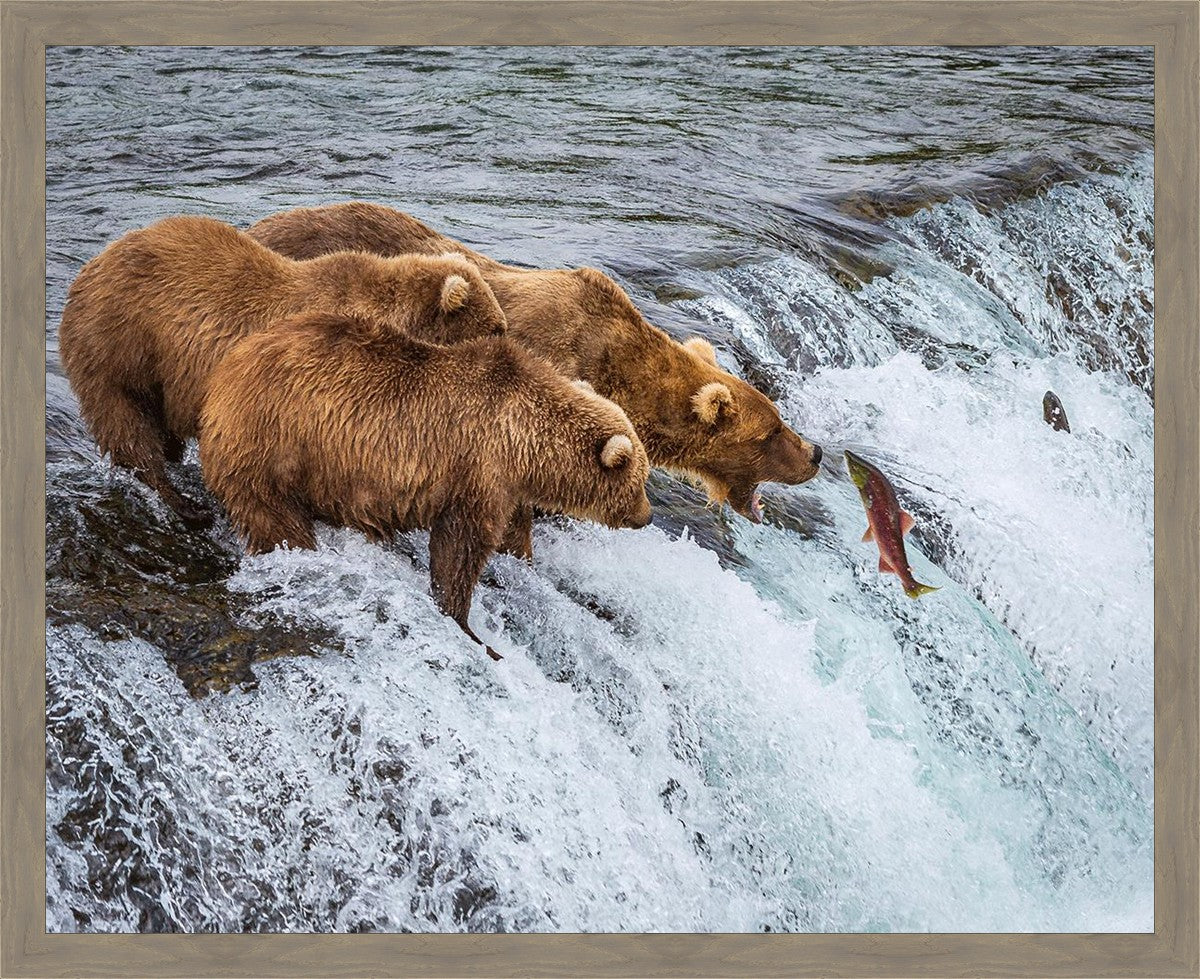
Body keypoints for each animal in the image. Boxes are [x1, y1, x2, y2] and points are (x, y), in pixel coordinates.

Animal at [58, 215, 508, 525]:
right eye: (496, 327)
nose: (509, 346)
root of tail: (89, 268)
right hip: (121, 345)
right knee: (127, 425)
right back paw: (183, 503)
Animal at [198, 311, 653, 660]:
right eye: (640, 481)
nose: (646, 517)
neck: (523, 440)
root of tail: (223, 373)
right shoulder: (476, 469)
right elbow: (460, 548)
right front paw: (469, 626)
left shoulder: (505, 486)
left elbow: (511, 535)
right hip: (273, 445)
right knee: (275, 518)